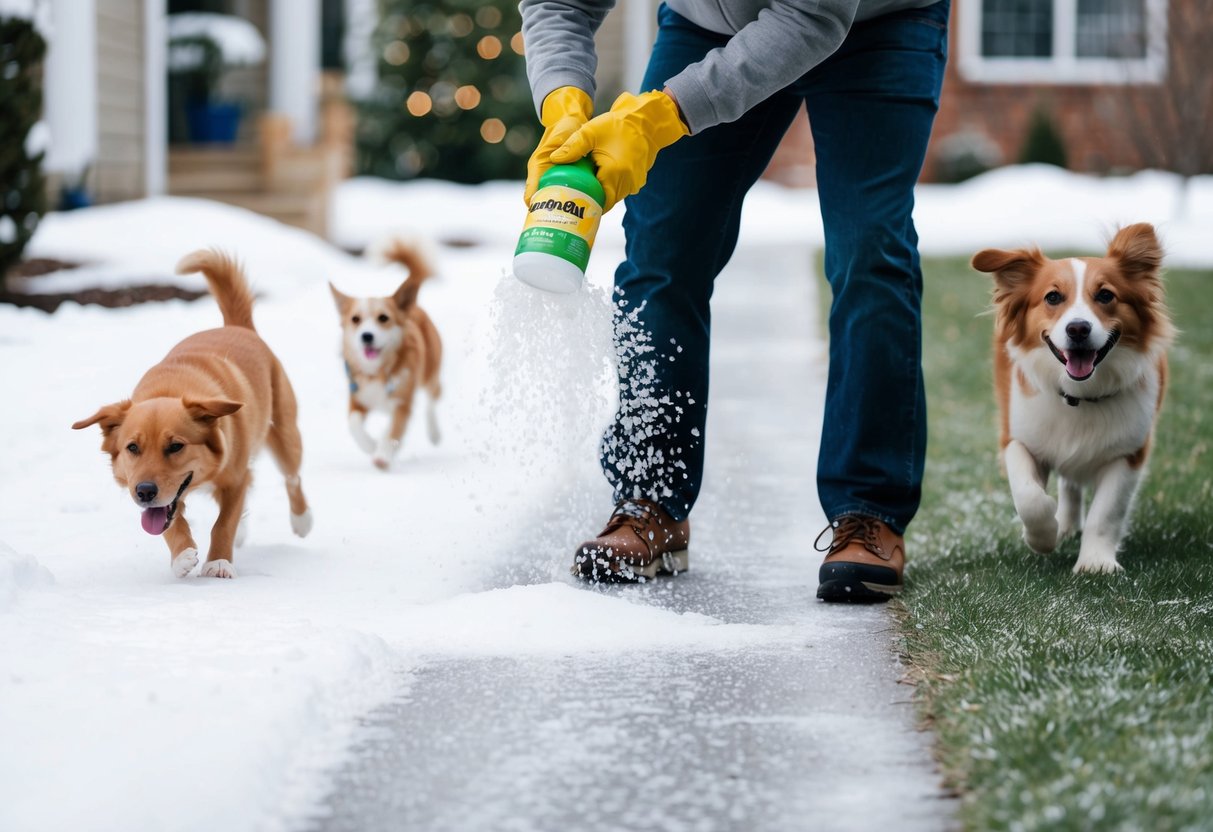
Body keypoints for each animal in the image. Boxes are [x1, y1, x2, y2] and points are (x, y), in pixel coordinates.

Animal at [72, 251, 312, 579]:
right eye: (132, 448)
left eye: (176, 446)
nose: (144, 491)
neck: (172, 388)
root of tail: (238, 326)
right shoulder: (167, 498)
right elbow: (169, 523)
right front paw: (182, 554)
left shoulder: (235, 478)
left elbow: (223, 523)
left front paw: (219, 562)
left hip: (285, 435)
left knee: (292, 477)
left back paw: (302, 519)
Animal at [329, 240, 443, 470]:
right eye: (355, 319)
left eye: (383, 318)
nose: (367, 336)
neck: (378, 373)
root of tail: (412, 306)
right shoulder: (357, 398)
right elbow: (354, 424)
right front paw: (371, 445)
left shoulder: (402, 403)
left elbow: (394, 432)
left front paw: (382, 455)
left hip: (430, 371)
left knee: (433, 397)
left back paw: (434, 433)